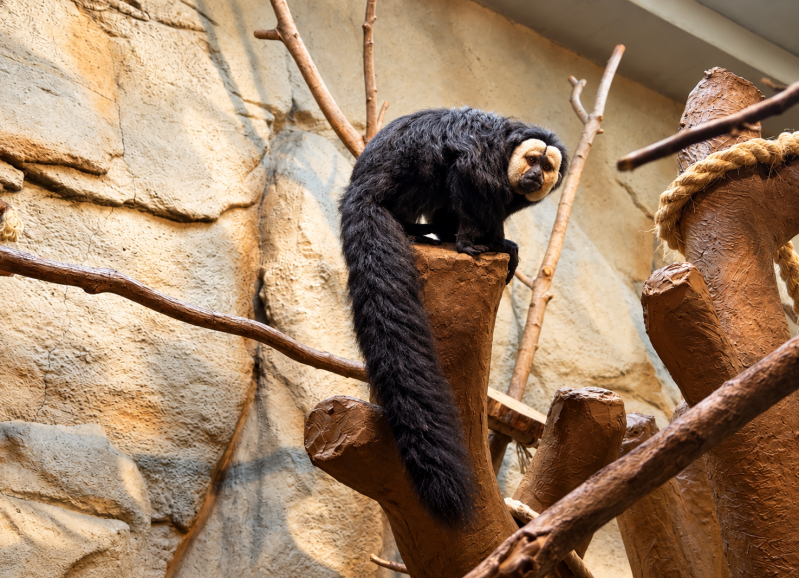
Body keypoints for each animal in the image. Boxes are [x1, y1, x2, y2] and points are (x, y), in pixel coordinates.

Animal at [338, 107, 568, 524]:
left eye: (546, 166)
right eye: (531, 159)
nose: (534, 175)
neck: (506, 151)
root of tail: (360, 190)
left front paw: (480, 240)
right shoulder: (483, 157)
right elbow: (469, 175)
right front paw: (486, 242)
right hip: (403, 182)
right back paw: (419, 231)